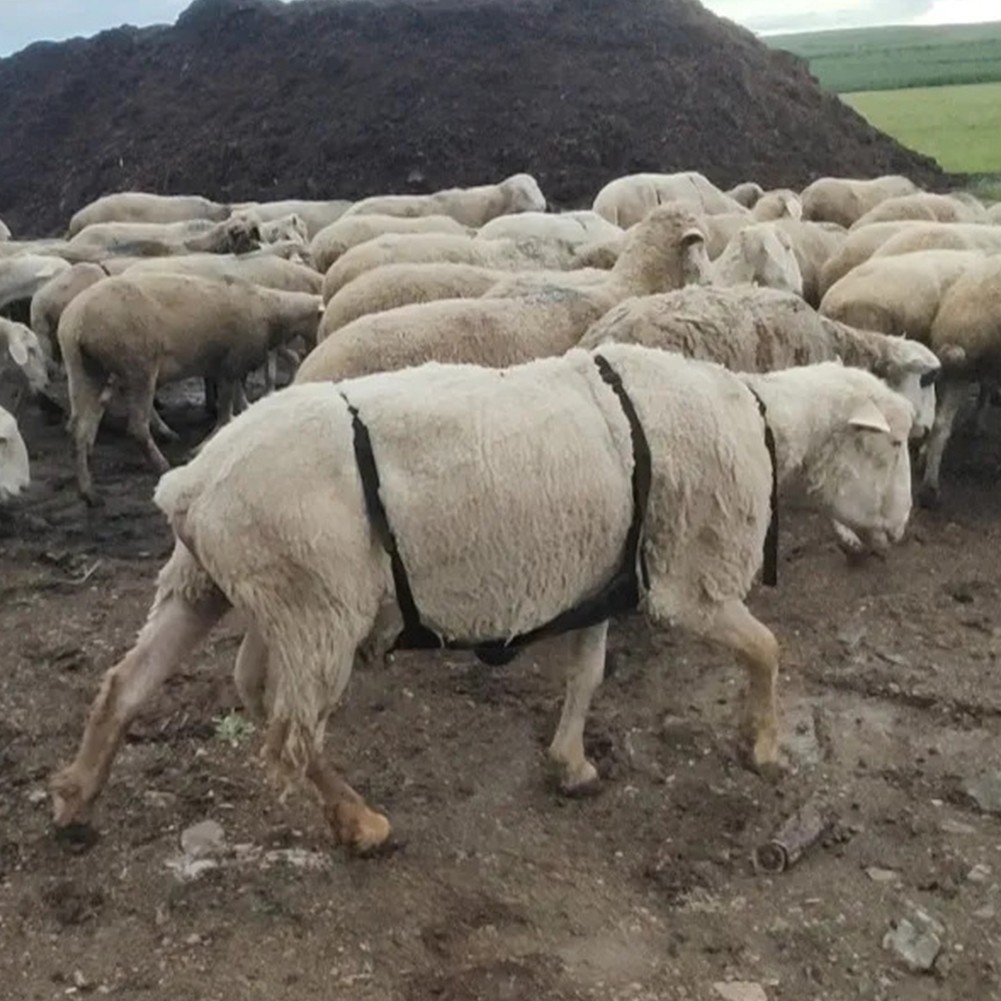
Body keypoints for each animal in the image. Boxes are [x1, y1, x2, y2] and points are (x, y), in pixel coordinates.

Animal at [49, 346, 915, 850]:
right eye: (896, 443)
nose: (902, 527)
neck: (764, 424)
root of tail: (190, 485)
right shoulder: (685, 581)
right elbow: (767, 649)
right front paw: (763, 745)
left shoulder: (600, 580)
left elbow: (586, 675)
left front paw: (570, 764)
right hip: (313, 604)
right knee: (288, 736)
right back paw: (360, 823)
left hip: (217, 585)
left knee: (133, 686)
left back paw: (76, 799)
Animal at [58, 273, 324, 504]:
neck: (270, 310)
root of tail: (77, 321)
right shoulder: (233, 361)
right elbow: (225, 409)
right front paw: (206, 443)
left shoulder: (228, 365)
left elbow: (236, 399)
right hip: (138, 363)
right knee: (136, 428)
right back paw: (161, 464)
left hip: (84, 368)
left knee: (77, 428)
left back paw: (88, 492)